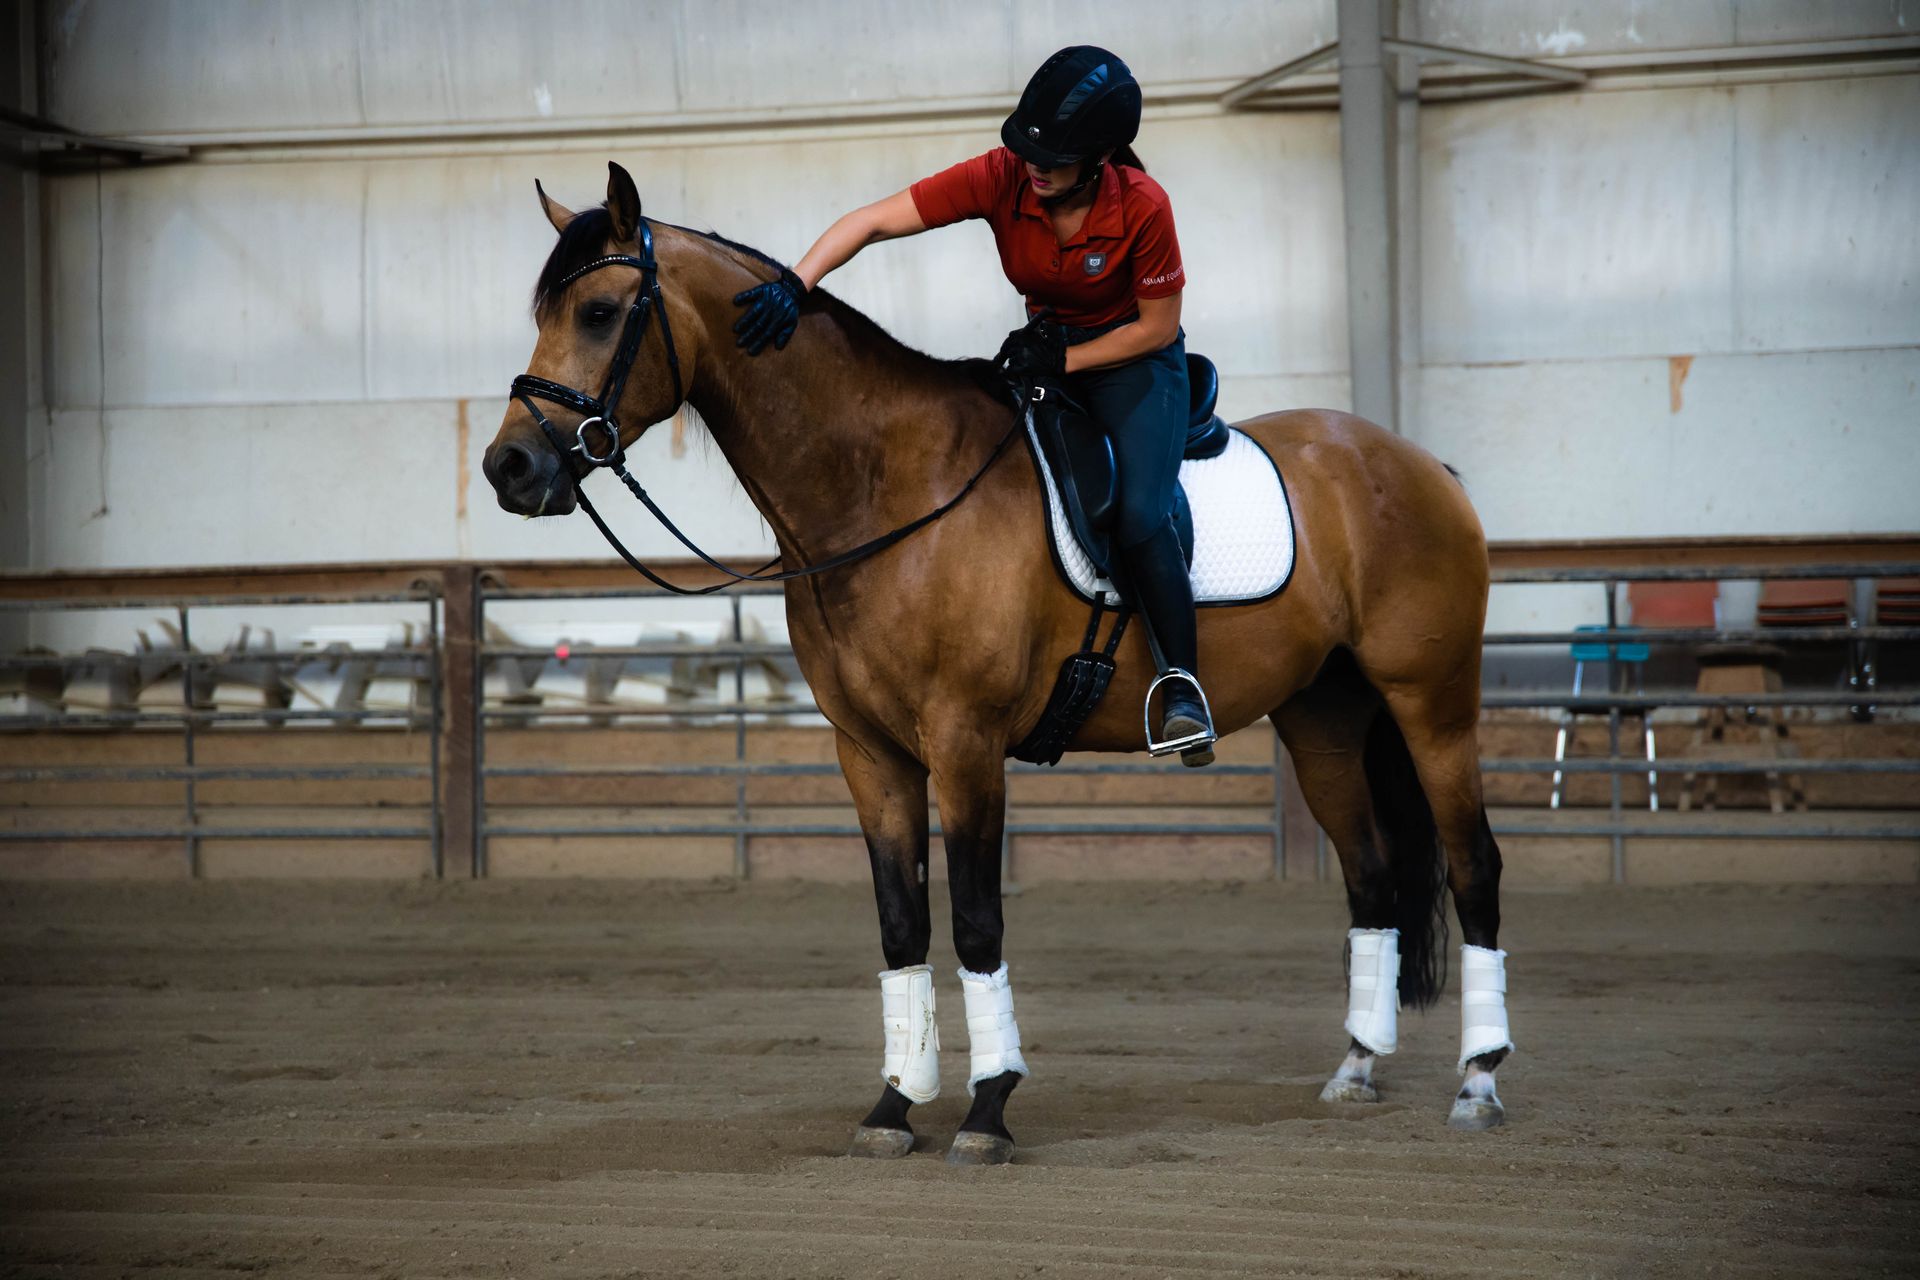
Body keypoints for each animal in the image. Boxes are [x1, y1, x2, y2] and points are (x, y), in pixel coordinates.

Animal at [483, 163, 1514, 1166]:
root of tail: (1416, 463)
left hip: (1431, 706)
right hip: (1324, 720)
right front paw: (894, 1106)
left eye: (600, 313)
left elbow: (978, 922)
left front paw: (987, 1110)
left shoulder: (965, 743)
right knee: (1372, 875)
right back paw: (1357, 1068)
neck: (887, 489)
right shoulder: (870, 754)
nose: (509, 467)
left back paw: (1478, 1083)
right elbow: (902, 924)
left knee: (1473, 867)